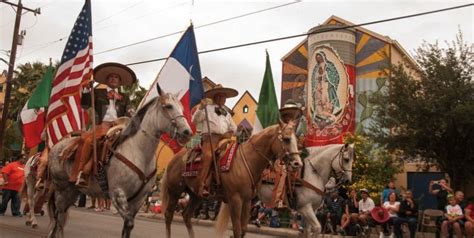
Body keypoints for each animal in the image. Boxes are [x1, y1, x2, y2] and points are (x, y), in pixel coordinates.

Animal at [45, 86, 192, 238]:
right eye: (168, 106)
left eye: (181, 107)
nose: (187, 132)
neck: (139, 152)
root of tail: (56, 147)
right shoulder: (117, 194)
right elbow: (129, 223)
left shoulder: (138, 200)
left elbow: (127, 228)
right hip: (61, 190)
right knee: (58, 218)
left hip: (73, 191)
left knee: (61, 218)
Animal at [161, 121, 302, 238]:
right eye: (286, 139)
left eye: (296, 140)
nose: (297, 163)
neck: (247, 161)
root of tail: (173, 160)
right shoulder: (235, 200)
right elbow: (237, 230)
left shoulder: (247, 201)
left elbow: (243, 230)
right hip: (175, 192)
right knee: (168, 215)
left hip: (196, 195)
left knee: (186, 215)